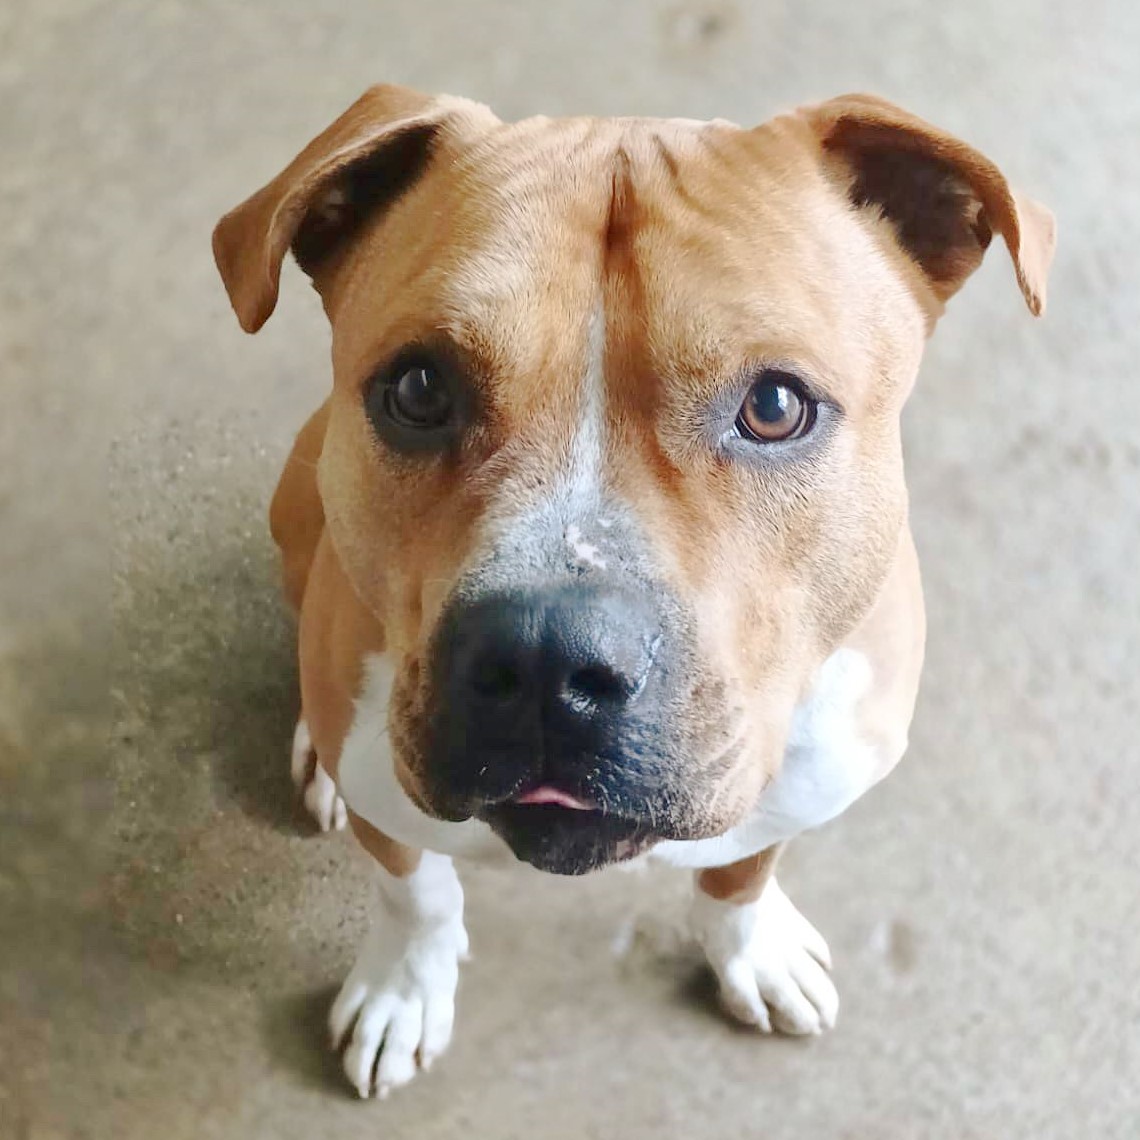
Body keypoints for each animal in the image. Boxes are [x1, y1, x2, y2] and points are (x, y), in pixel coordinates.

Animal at [212, 85, 1054, 1098]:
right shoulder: (396, 812)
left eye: (776, 406)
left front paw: (753, 948)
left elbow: (742, 873)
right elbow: (416, 894)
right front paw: (403, 988)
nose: (545, 660)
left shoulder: (793, 789)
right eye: (417, 389)